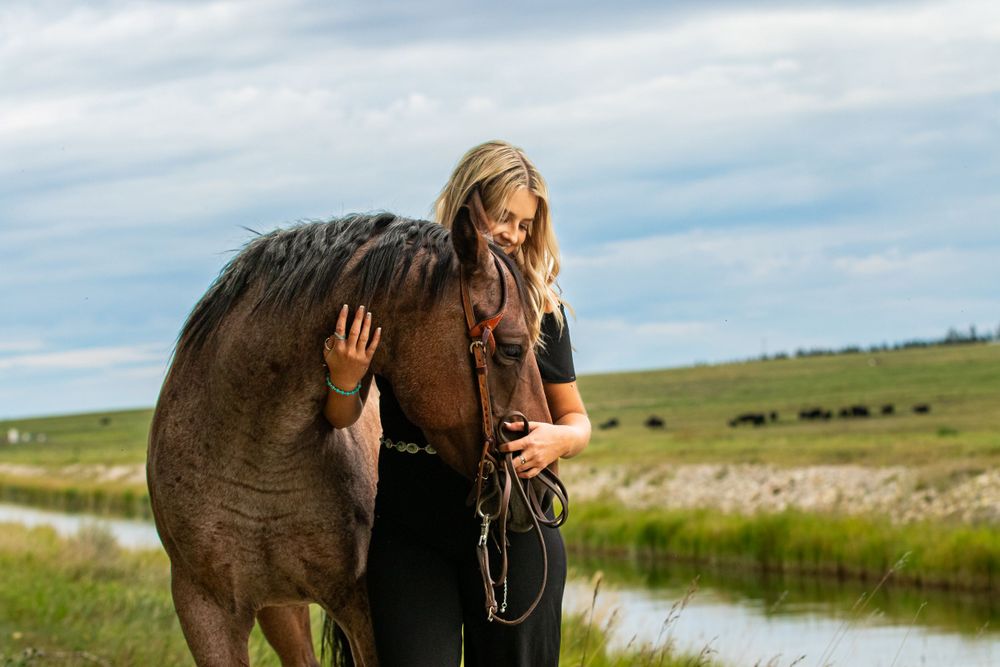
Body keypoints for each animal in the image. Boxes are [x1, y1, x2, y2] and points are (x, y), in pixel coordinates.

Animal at [146, 201, 551, 666]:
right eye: (513, 348)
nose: (543, 489)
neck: (254, 452)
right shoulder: (204, 610)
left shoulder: (361, 606)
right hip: (279, 607)